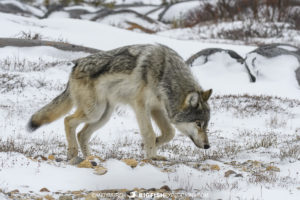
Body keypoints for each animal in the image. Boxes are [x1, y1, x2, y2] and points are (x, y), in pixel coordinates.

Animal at [27, 43, 212, 162]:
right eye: (198, 124)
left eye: (206, 125)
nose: (207, 146)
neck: (164, 74)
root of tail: (75, 66)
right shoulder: (141, 107)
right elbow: (149, 133)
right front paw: (151, 156)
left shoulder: (157, 109)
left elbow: (169, 133)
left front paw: (150, 147)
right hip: (94, 112)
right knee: (68, 120)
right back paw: (72, 153)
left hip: (103, 116)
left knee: (82, 134)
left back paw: (90, 158)